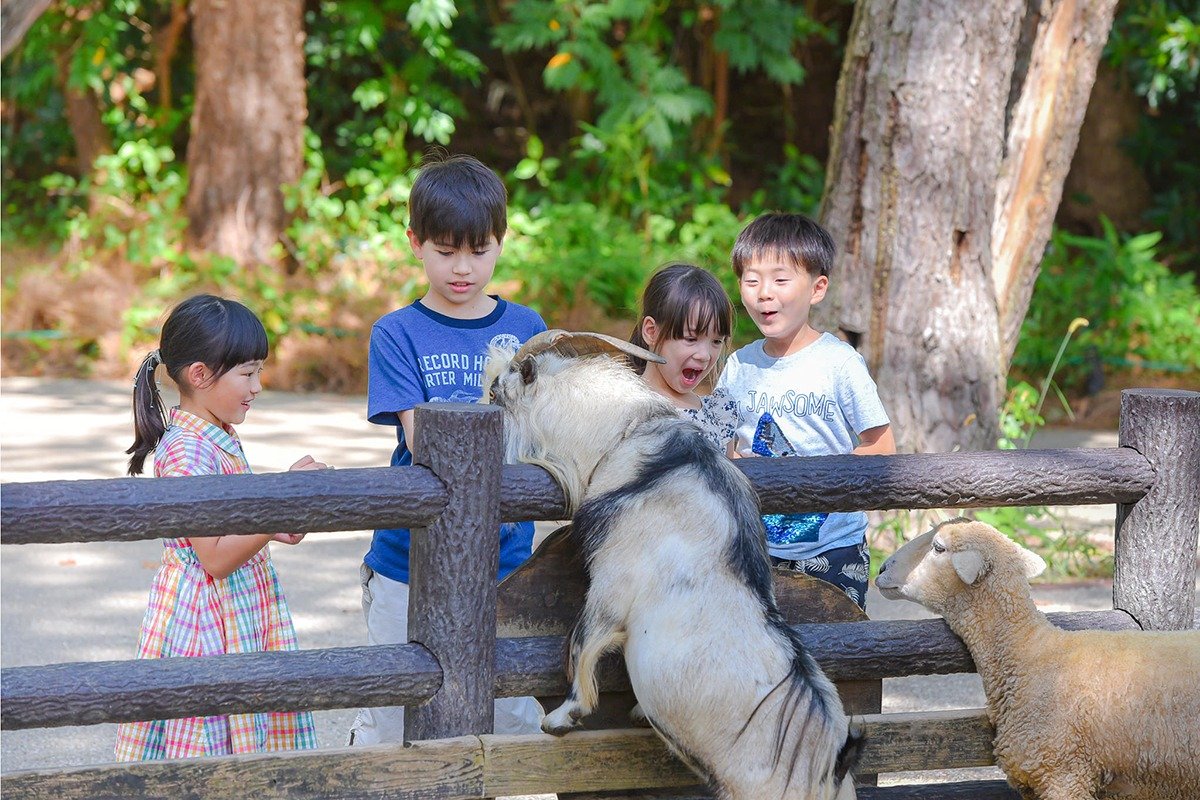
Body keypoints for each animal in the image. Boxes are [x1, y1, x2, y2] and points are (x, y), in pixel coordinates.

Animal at [482, 331, 859, 800]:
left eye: (497, 393)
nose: (482, 399)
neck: (624, 437)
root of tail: (830, 767)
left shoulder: (612, 586)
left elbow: (580, 644)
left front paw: (562, 719)